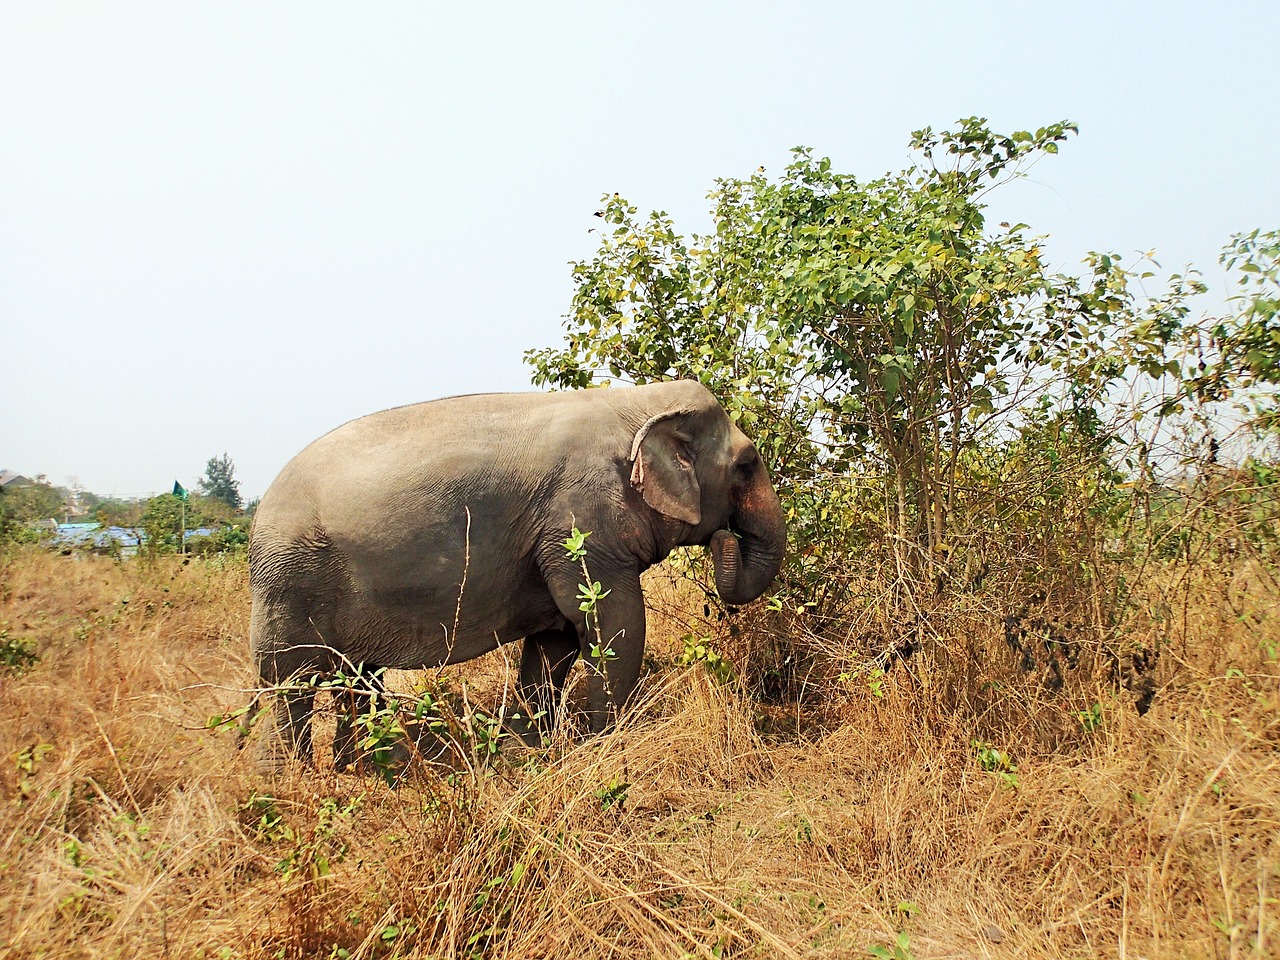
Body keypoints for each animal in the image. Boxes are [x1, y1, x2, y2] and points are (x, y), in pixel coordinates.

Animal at [248, 378, 783, 773]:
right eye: (746, 465)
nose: (725, 537)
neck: (636, 400)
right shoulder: (582, 521)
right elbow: (614, 622)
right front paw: (605, 749)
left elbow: (556, 641)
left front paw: (535, 752)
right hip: (289, 581)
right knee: (289, 685)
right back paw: (291, 786)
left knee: (356, 680)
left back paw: (367, 774)